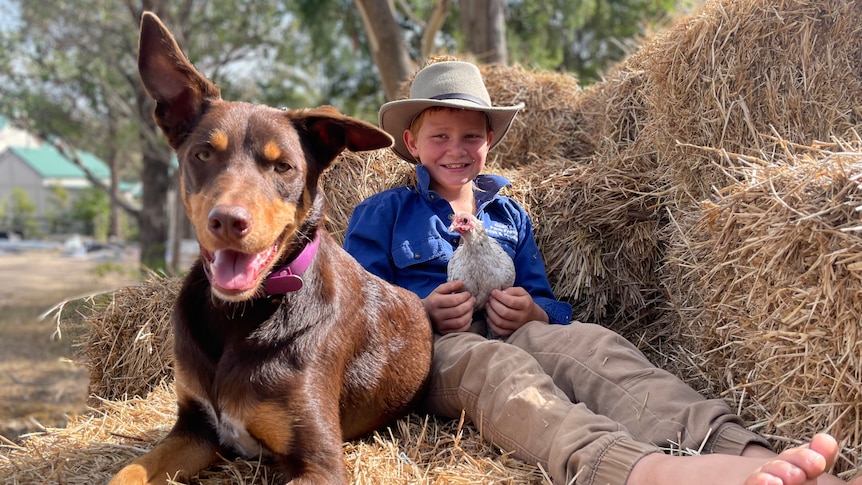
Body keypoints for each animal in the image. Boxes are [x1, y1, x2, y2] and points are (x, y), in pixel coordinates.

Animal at [109, 11, 432, 484]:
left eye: (283, 166)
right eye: (203, 154)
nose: (228, 221)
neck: (242, 314)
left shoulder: (319, 461)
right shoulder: (194, 430)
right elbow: (125, 472)